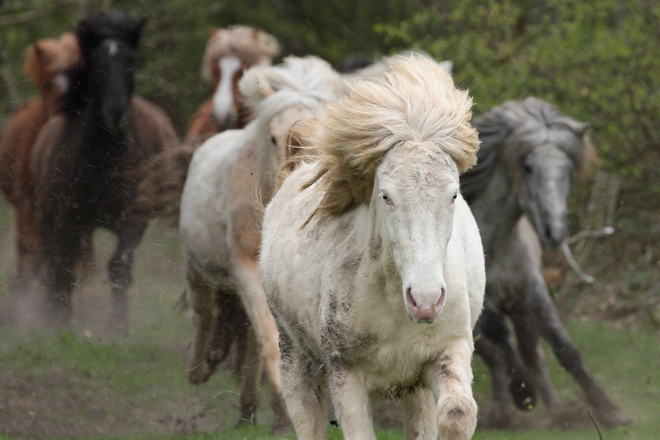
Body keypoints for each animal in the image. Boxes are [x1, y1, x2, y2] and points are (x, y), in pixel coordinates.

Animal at [29, 10, 178, 330]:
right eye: (94, 61)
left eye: (131, 58)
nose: (115, 110)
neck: (105, 160)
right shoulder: (67, 216)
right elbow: (63, 266)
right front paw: (59, 322)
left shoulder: (134, 219)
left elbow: (119, 267)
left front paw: (119, 328)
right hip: (49, 216)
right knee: (52, 260)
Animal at [178, 56, 342, 432]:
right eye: (274, 137)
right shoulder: (243, 265)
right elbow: (267, 336)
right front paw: (282, 406)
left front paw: (279, 411)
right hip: (197, 265)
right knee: (204, 311)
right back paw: (199, 368)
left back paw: (248, 406)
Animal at [262, 53, 484, 438]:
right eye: (386, 196)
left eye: (454, 194)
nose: (425, 300)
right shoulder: (345, 376)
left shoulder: (448, 351)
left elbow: (457, 414)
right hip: (295, 356)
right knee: (306, 417)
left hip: (416, 386)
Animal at [464, 98, 628, 428]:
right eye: (527, 167)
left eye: (567, 170)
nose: (555, 232)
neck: (495, 243)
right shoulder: (480, 302)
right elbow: (500, 337)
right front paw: (523, 393)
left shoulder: (532, 290)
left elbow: (563, 347)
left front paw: (608, 409)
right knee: (492, 355)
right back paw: (503, 410)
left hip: (520, 311)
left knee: (532, 356)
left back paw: (552, 410)